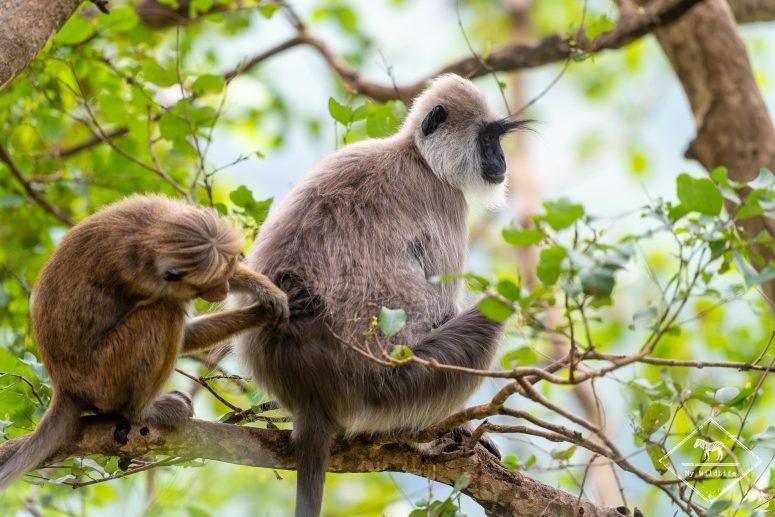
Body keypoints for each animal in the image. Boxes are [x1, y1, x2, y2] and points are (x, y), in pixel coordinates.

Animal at [0, 194, 289, 492]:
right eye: (211, 283)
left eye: (227, 271)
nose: (224, 289)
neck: (152, 235)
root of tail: (65, 387)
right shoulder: (146, 280)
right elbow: (174, 318)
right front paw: (260, 312)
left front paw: (264, 293)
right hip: (103, 376)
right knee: (162, 313)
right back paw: (142, 411)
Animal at [234, 74, 528, 516]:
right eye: (489, 138)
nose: (502, 160)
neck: (417, 156)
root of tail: (310, 388)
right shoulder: (445, 199)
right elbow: (440, 304)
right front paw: (460, 429)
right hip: (389, 390)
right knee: (494, 309)